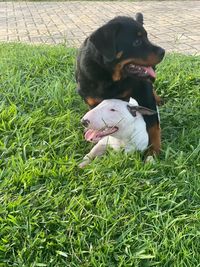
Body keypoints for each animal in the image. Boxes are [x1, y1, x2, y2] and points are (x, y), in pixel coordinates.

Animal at [76, 13, 165, 156]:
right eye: (137, 42)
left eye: (147, 37)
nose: (163, 52)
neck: (109, 77)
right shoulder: (93, 102)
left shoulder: (144, 95)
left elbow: (153, 126)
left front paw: (153, 151)